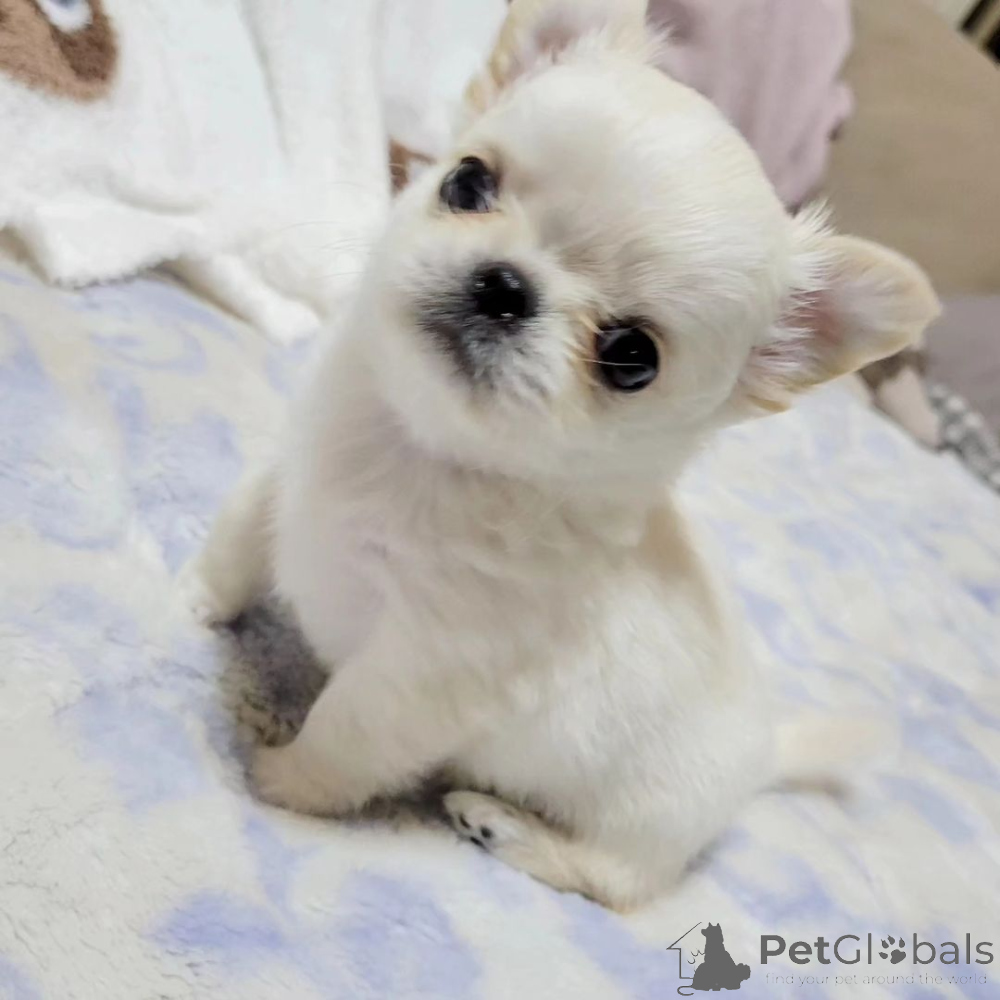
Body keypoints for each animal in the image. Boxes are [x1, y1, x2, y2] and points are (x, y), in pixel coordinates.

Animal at [184, 0, 939, 911]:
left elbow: (346, 734)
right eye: (466, 184)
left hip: (641, 820)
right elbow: (235, 544)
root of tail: (766, 754)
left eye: (630, 358)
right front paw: (191, 600)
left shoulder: (419, 672)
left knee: (614, 882)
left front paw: (281, 778)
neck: (417, 452)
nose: (506, 287)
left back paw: (501, 826)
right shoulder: (281, 475)